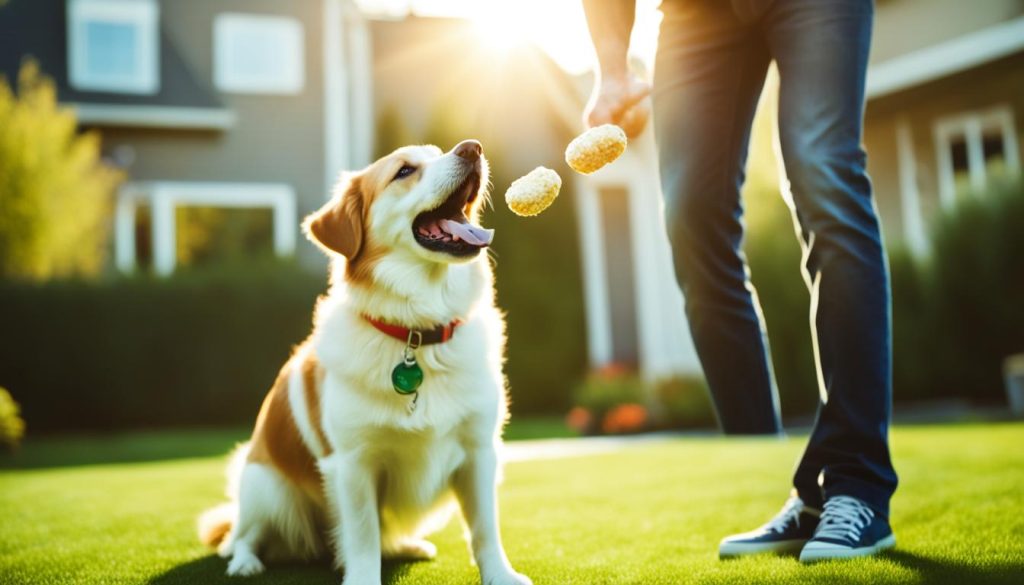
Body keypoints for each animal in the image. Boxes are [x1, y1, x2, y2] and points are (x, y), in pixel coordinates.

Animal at [196, 138, 532, 585]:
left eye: (440, 151)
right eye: (404, 171)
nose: (472, 147)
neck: (416, 330)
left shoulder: (479, 451)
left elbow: (484, 528)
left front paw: (500, 575)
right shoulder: (354, 463)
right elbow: (363, 536)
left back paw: (410, 545)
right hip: (264, 486)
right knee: (242, 535)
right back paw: (245, 563)